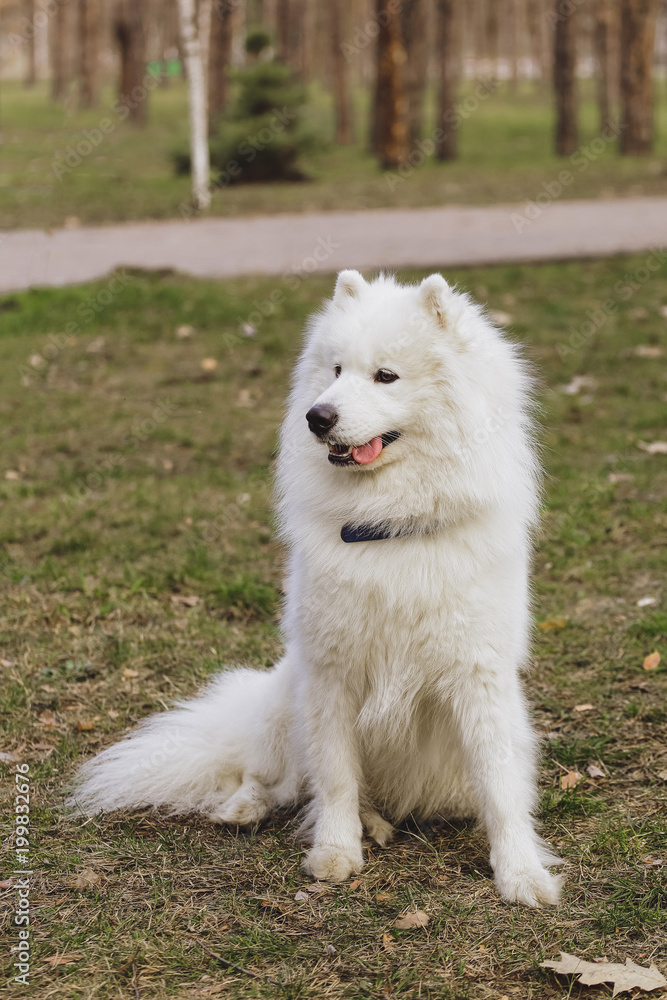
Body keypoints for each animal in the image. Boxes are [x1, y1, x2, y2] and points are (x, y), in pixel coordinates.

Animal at [72, 272, 564, 908]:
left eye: (385, 376)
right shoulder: (332, 675)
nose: (317, 416)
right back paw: (250, 807)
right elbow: (333, 777)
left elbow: (501, 786)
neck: (389, 526)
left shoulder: (479, 678)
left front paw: (521, 874)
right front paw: (335, 850)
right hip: (287, 696)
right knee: (272, 776)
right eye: (334, 371)